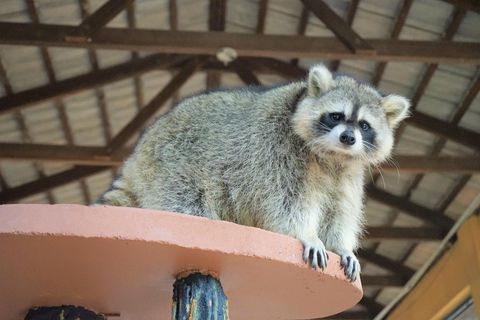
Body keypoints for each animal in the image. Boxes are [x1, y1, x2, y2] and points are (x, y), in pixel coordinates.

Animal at [94, 63, 408, 282]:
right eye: (336, 116)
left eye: (364, 125)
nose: (348, 138)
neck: (330, 156)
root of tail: (138, 152)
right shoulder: (276, 150)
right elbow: (286, 202)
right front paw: (306, 233)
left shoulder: (348, 172)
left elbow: (340, 210)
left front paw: (341, 245)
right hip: (171, 163)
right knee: (186, 202)